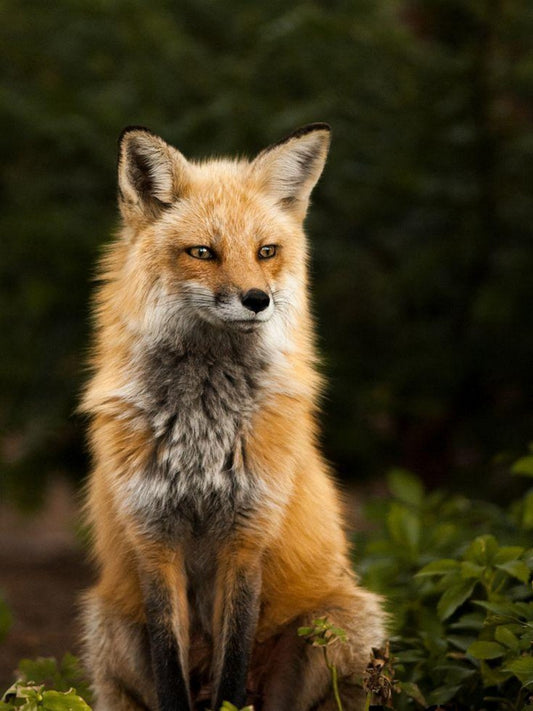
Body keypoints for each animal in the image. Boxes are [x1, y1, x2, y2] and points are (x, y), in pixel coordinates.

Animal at [80, 123, 385, 711]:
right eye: (203, 252)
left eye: (266, 251)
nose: (257, 299)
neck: (202, 428)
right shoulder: (154, 539)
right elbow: (170, 669)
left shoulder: (247, 537)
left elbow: (233, 666)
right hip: (106, 624)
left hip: (346, 621)